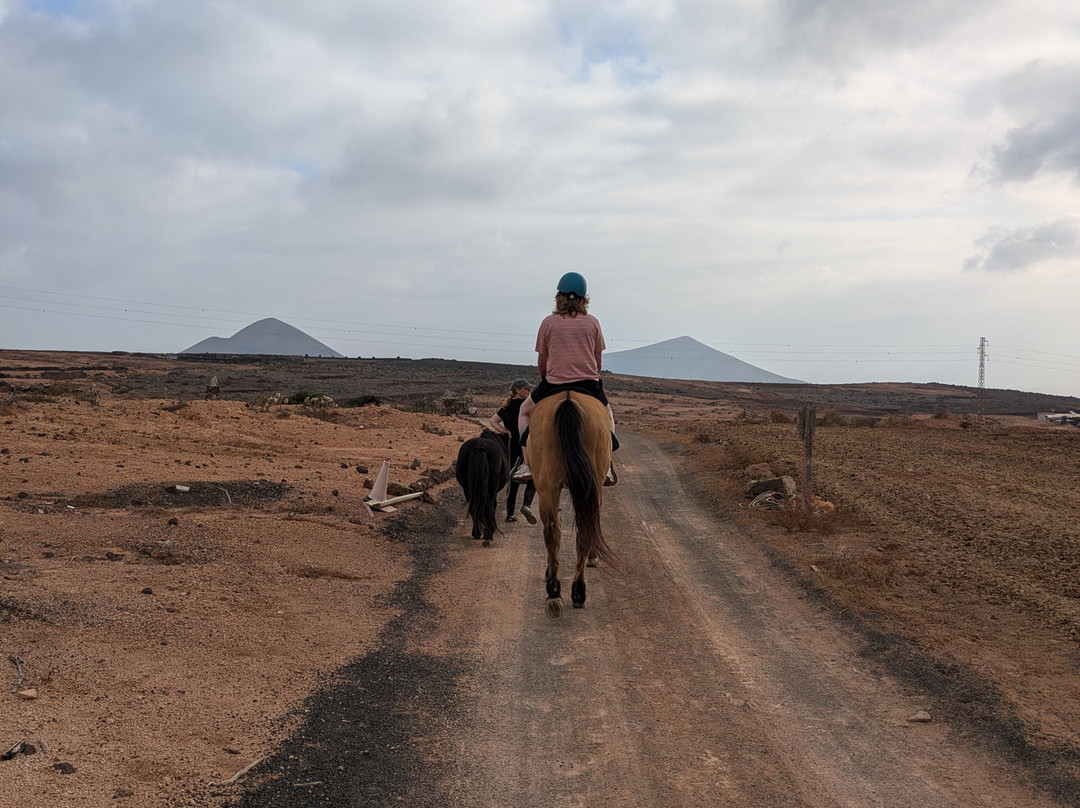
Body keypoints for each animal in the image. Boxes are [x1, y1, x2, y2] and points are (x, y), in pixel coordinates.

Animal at [527, 391, 617, 617]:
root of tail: (568, 401)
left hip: (548, 485)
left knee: (553, 528)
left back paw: (555, 592)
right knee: (578, 529)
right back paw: (576, 593)